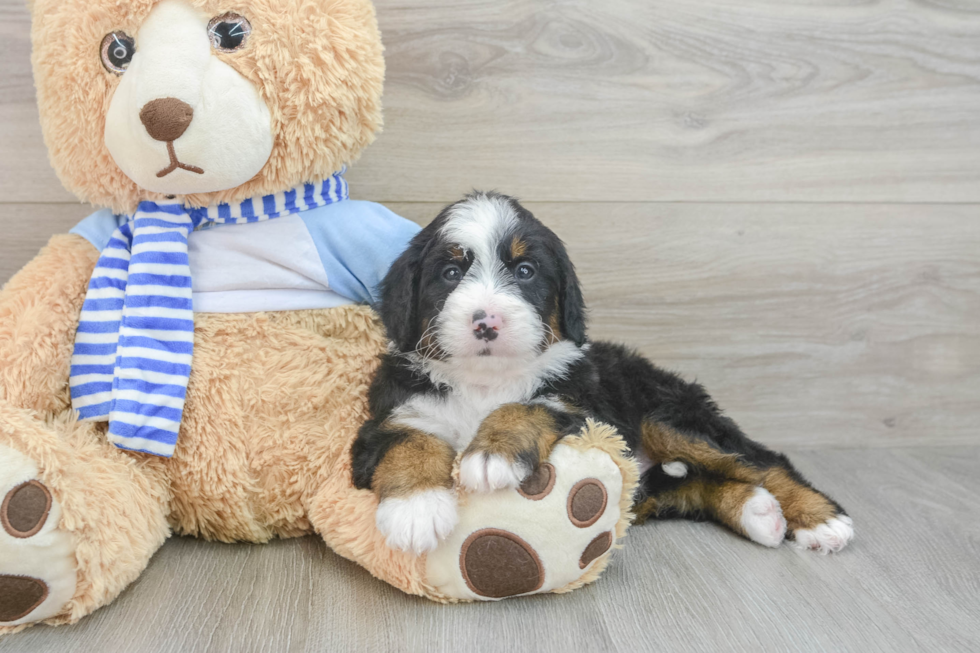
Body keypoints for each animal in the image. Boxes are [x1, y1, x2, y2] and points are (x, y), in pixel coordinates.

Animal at [352, 192, 848, 556]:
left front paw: (491, 454)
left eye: (525, 271)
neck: (485, 382)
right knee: (698, 486)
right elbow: (409, 442)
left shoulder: (583, 407)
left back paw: (822, 520)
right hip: (652, 485)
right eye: (451, 272)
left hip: (668, 416)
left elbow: (528, 405)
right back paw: (758, 512)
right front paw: (416, 509)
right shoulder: (390, 417)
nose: (486, 321)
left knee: (763, 461)